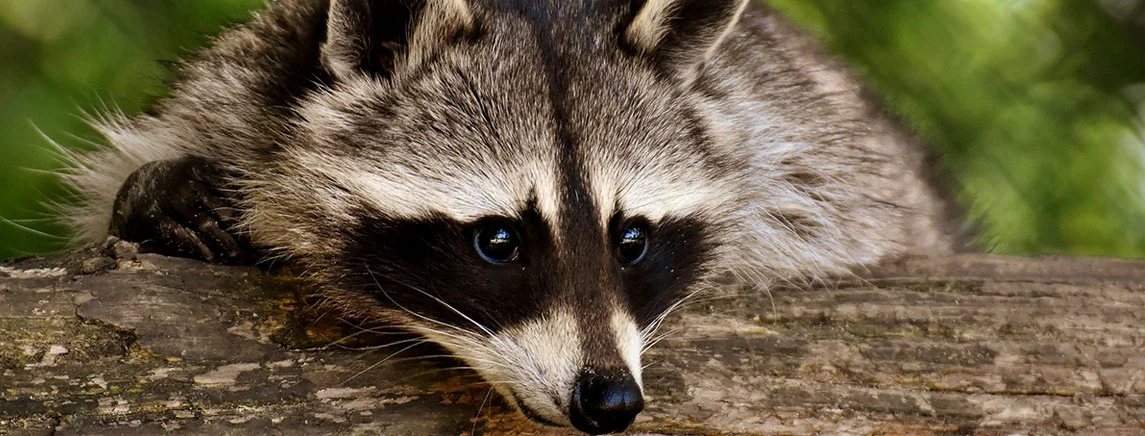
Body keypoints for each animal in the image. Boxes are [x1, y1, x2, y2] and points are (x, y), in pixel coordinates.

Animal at [58, 0, 957, 433]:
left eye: (631, 239)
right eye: (498, 241)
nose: (609, 401)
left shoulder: (795, 149)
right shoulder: (233, 92)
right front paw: (156, 198)